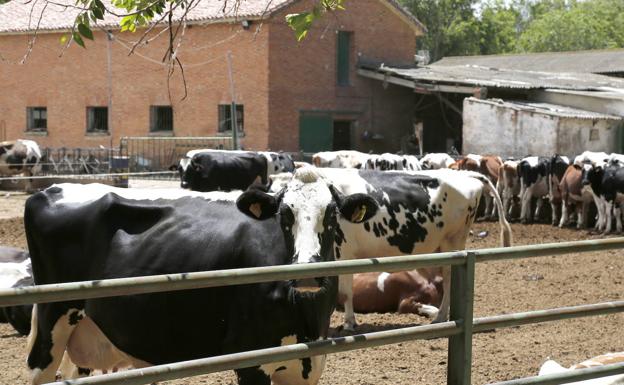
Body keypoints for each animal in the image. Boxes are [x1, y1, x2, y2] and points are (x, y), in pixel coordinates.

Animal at [23, 172, 376, 384]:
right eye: (284, 215)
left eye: (332, 214)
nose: (307, 271)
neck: (305, 317)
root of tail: (49, 189)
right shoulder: (251, 358)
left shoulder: (310, 363)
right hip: (52, 323)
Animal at [270, 166, 512, 328]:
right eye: (285, 212)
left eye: (330, 212)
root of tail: (467, 173)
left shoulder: (344, 253)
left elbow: (345, 292)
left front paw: (349, 323)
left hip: (453, 241)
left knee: (450, 279)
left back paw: (441, 317)